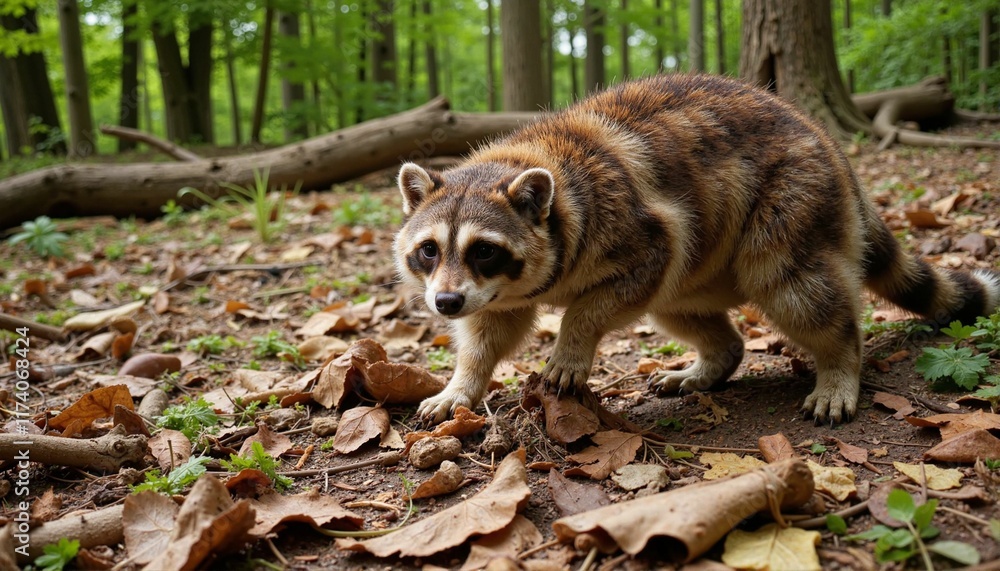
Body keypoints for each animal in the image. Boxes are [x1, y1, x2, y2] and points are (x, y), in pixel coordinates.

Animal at [393, 73, 1000, 425]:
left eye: (483, 251)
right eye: (429, 251)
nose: (444, 304)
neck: (522, 161)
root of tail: (828, 143)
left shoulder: (636, 229)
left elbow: (601, 299)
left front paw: (572, 340)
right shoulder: (499, 293)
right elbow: (491, 329)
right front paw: (464, 382)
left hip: (794, 196)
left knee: (794, 285)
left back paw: (839, 361)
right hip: (704, 262)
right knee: (677, 305)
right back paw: (715, 357)